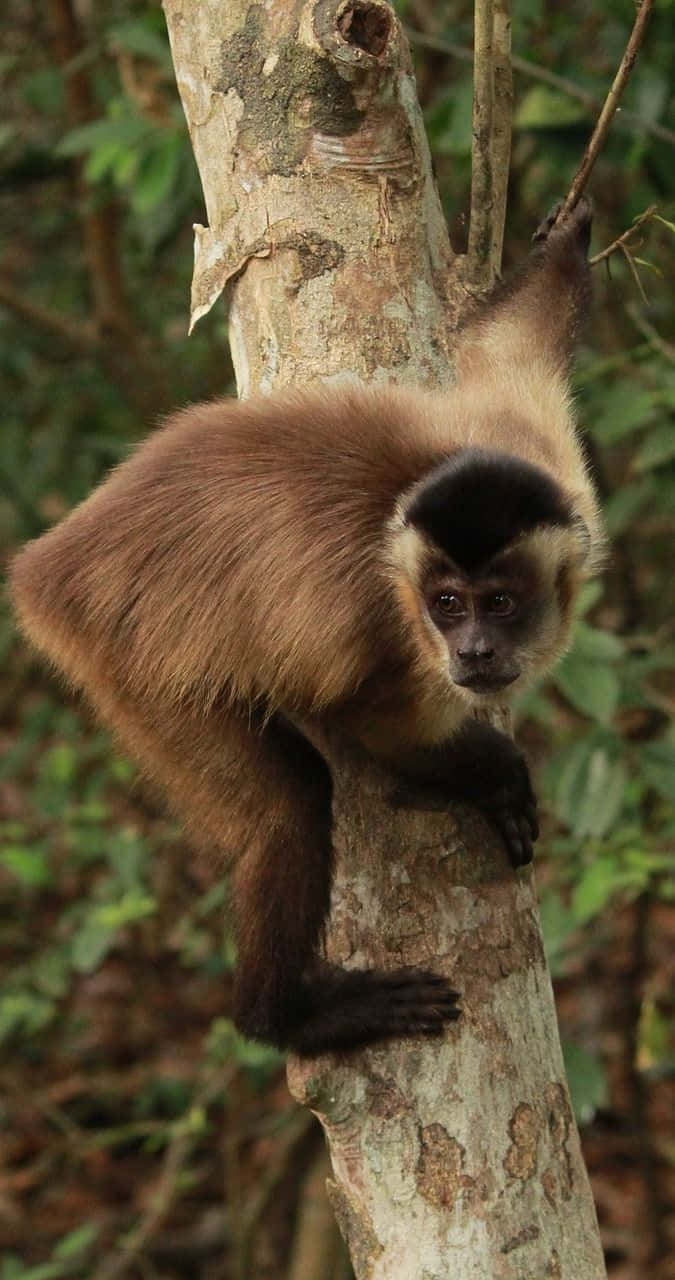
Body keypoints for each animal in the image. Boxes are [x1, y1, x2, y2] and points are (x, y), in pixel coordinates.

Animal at [10, 199, 603, 1056]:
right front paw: (488, 772)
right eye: (446, 605)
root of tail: (50, 567)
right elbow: (364, 722)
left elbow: (500, 350)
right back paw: (285, 1018)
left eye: (498, 604)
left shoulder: (527, 444)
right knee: (285, 811)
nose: (473, 651)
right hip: (124, 661)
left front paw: (564, 246)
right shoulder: (383, 627)